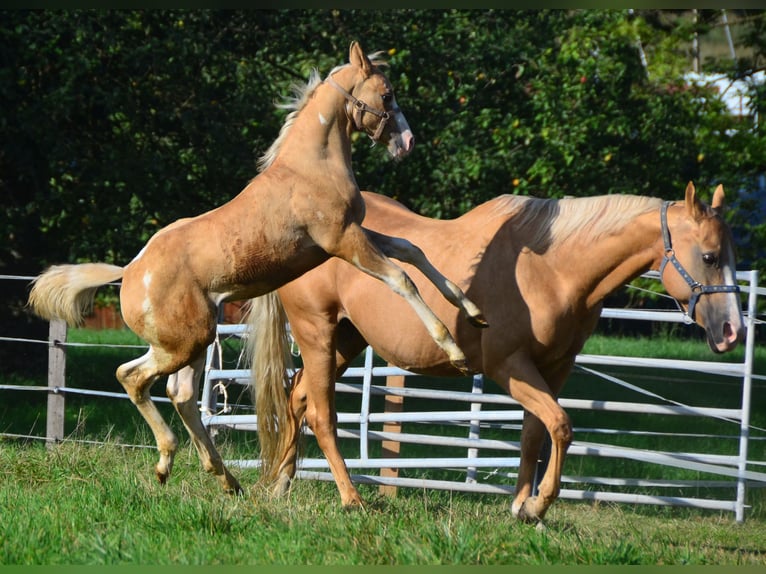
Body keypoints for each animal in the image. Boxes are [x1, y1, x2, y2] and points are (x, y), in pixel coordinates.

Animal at [30, 42, 488, 498]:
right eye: (387, 94)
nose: (407, 142)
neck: (311, 166)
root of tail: (129, 272)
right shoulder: (342, 241)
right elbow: (401, 278)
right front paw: (456, 352)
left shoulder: (355, 235)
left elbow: (413, 251)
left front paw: (475, 312)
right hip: (184, 343)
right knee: (132, 378)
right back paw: (168, 462)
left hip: (193, 341)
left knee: (180, 394)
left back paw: (224, 478)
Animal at [249, 182, 748, 524]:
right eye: (708, 256)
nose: (733, 332)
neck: (551, 268)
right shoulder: (509, 367)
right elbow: (561, 426)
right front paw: (538, 506)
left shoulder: (554, 368)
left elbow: (534, 435)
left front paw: (521, 504)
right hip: (317, 333)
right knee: (321, 415)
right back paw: (350, 498)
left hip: (347, 341)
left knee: (297, 398)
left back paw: (281, 485)